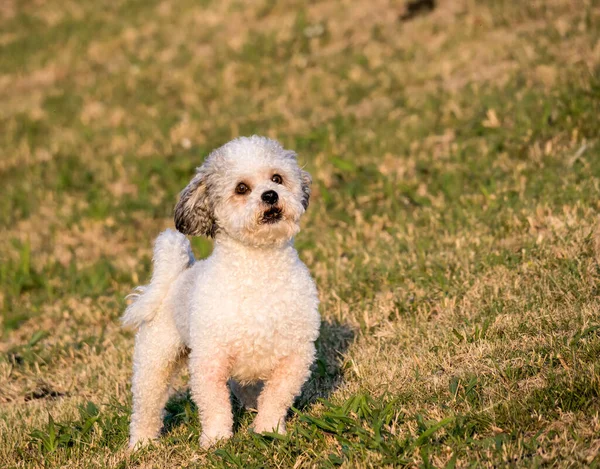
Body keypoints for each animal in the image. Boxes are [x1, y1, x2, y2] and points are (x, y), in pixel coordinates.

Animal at [119, 135, 322, 446]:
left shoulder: (295, 356)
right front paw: (216, 441)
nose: (270, 195)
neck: (259, 271)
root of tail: (176, 277)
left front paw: (269, 430)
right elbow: (215, 406)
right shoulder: (209, 360)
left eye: (277, 178)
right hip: (155, 361)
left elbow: (276, 397)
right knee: (147, 406)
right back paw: (141, 444)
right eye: (242, 188)